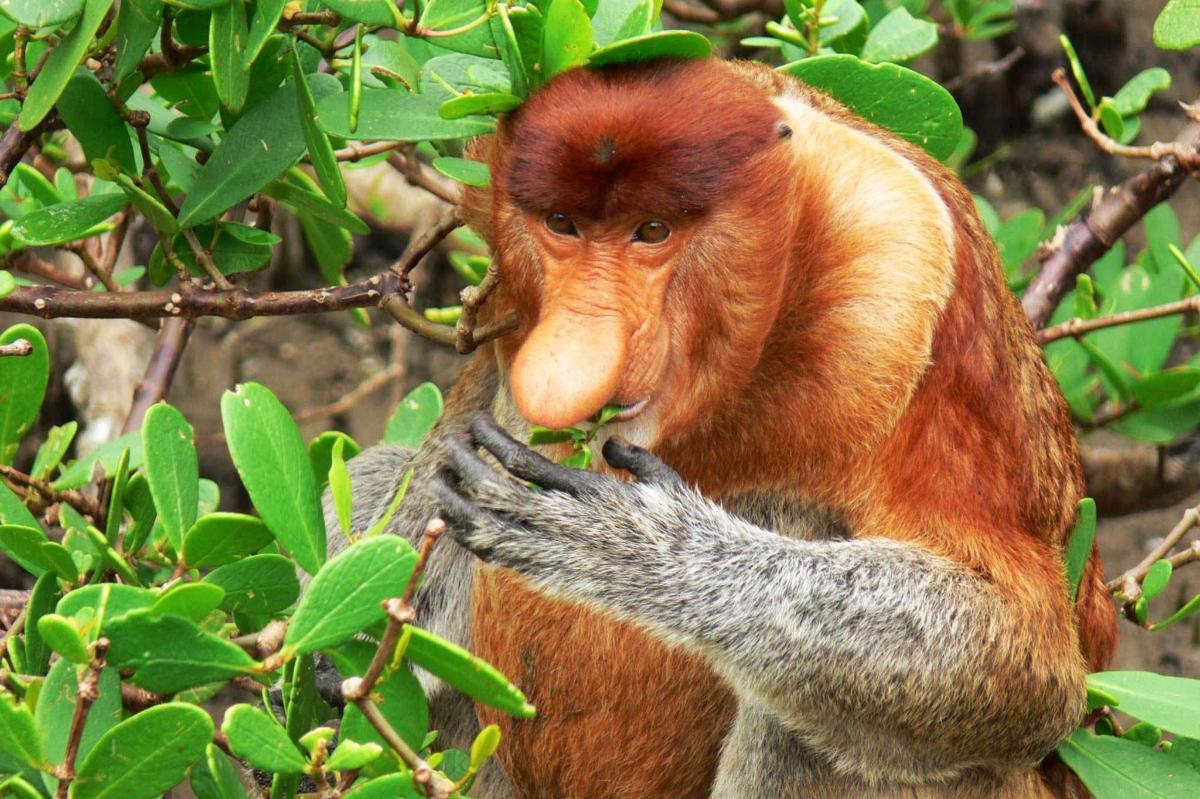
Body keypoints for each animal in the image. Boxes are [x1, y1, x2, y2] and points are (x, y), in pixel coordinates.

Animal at [328, 57, 1113, 796]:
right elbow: (442, 459)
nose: (569, 364)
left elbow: (1020, 658)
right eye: (561, 225)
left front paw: (632, 545)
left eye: (652, 231)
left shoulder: (903, 273)